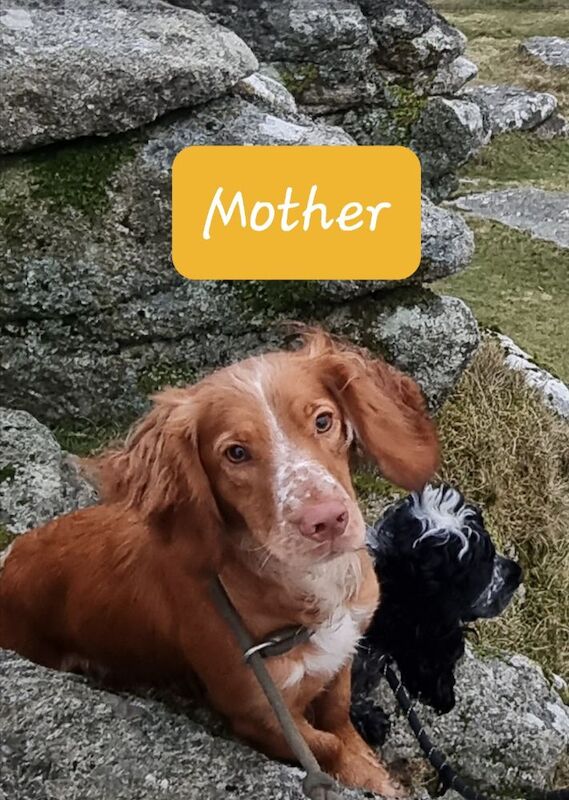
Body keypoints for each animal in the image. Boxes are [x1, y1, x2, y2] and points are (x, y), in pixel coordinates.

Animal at [0, 330, 440, 792]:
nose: (327, 520)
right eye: (236, 453)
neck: (309, 587)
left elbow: (338, 717)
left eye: (323, 421)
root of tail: (9, 559)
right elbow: (325, 745)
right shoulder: (258, 714)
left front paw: (372, 772)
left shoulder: (342, 651)